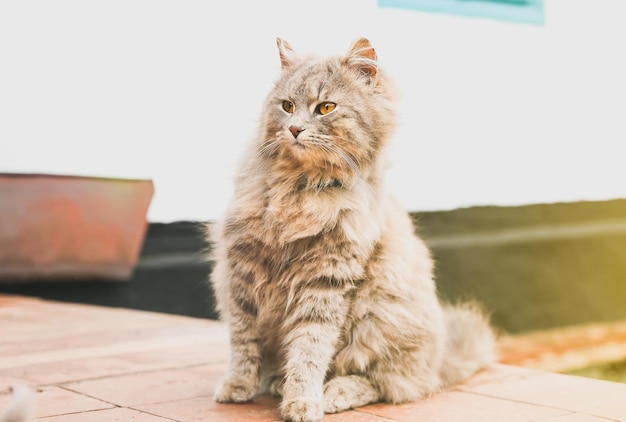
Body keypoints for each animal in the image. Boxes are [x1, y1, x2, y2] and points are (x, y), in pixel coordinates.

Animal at [207, 37, 494, 422]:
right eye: (287, 106)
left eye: (326, 107)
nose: (294, 129)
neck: (300, 189)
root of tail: (439, 360)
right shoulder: (241, 273)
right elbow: (243, 343)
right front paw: (239, 386)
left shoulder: (327, 279)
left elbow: (310, 348)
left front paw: (303, 401)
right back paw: (279, 383)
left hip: (380, 315)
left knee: (387, 384)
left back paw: (332, 393)